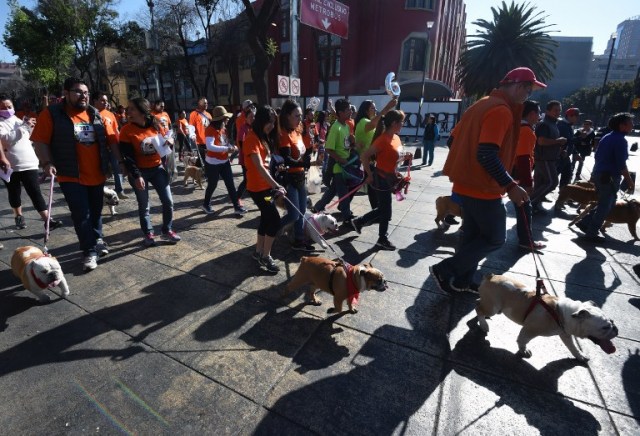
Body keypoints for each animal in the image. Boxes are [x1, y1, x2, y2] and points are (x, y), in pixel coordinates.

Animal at [476, 272, 616, 362]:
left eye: (612, 322)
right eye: (605, 327)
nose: (616, 329)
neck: (561, 312)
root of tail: (490, 276)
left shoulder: (565, 334)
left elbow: (572, 346)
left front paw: (580, 356)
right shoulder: (529, 330)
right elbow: (522, 340)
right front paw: (523, 351)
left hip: (491, 305)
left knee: (478, 303)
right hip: (493, 307)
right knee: (479, 309)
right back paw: (484, 325)